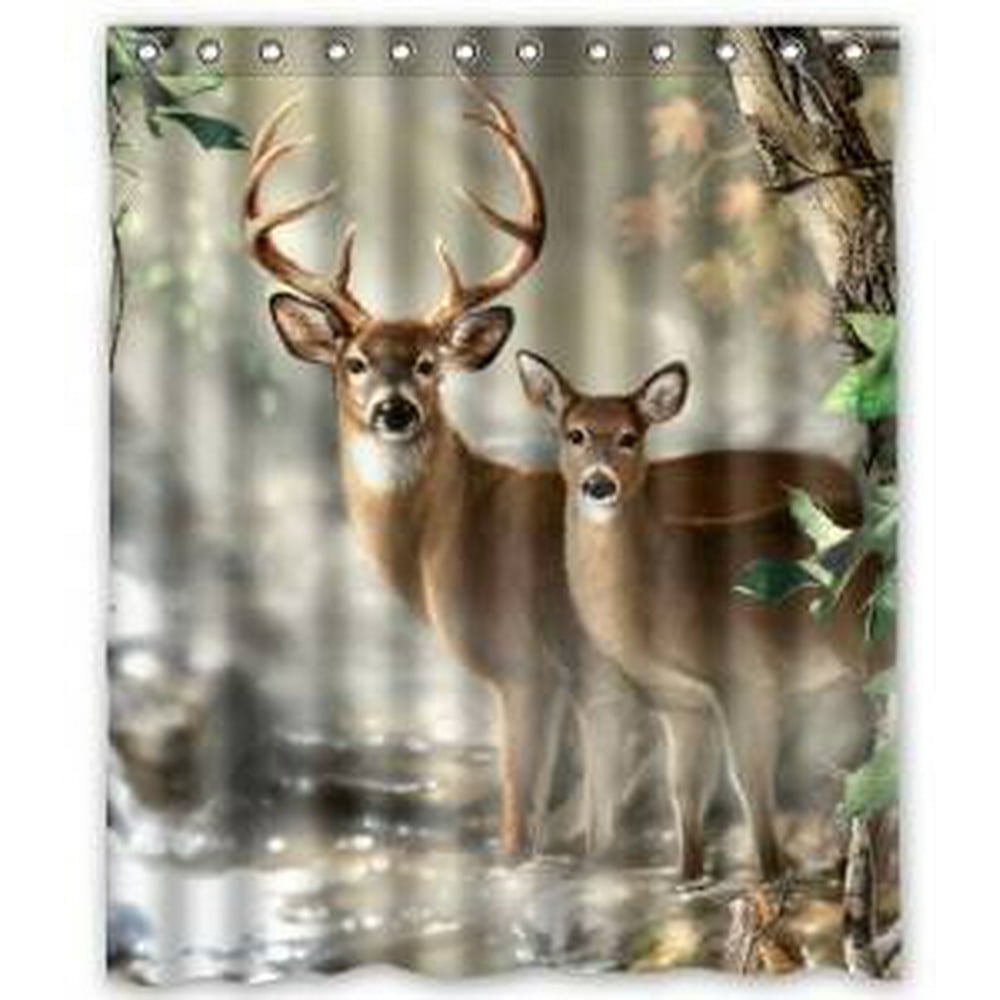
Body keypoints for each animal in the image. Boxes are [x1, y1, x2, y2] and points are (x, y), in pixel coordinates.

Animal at [243, 81, 650, 859]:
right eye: (355, 362)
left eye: (430, 363)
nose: (395, 410)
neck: (448, 537)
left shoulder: (528, 668)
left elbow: (519, 821)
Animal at [517, 350, 880, 880]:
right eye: (574, 434)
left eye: (630, 437)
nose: (599, 484)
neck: (660, 587)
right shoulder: (680, 701)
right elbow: (685, 792)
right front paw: (688, 877)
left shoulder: (745, 677)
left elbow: (751, 785)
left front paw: (771, 875)